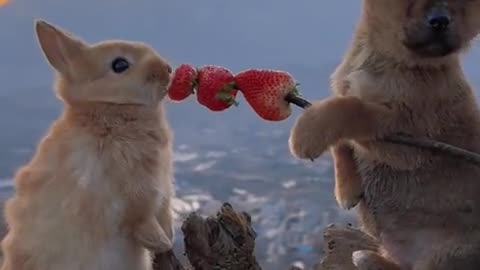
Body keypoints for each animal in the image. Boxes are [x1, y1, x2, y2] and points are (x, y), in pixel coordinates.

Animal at [290, 1, 480, 270]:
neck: (388, 62)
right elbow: (341, 138)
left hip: (446, 254)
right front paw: (347, 188)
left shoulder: (406, 137)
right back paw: (369, 258)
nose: (441, 20)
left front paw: (307, 133)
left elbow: (350, 108)